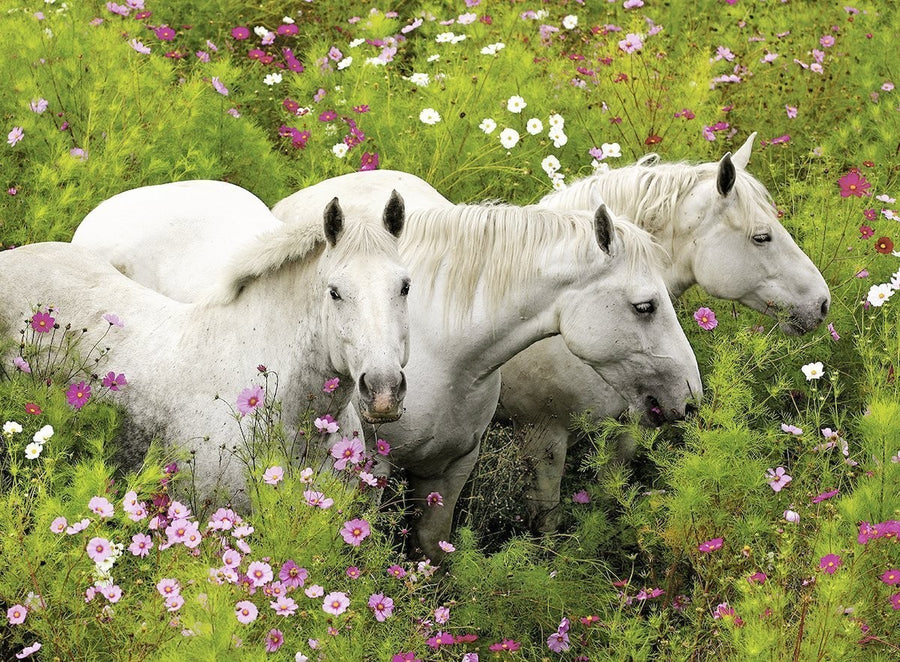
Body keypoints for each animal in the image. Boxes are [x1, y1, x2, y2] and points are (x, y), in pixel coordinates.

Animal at [274, 174, 702, 562]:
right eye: (645, 306)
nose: (690, 397)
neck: (444, 353)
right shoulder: (377, 468)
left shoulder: (453, 467)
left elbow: (432, 548)